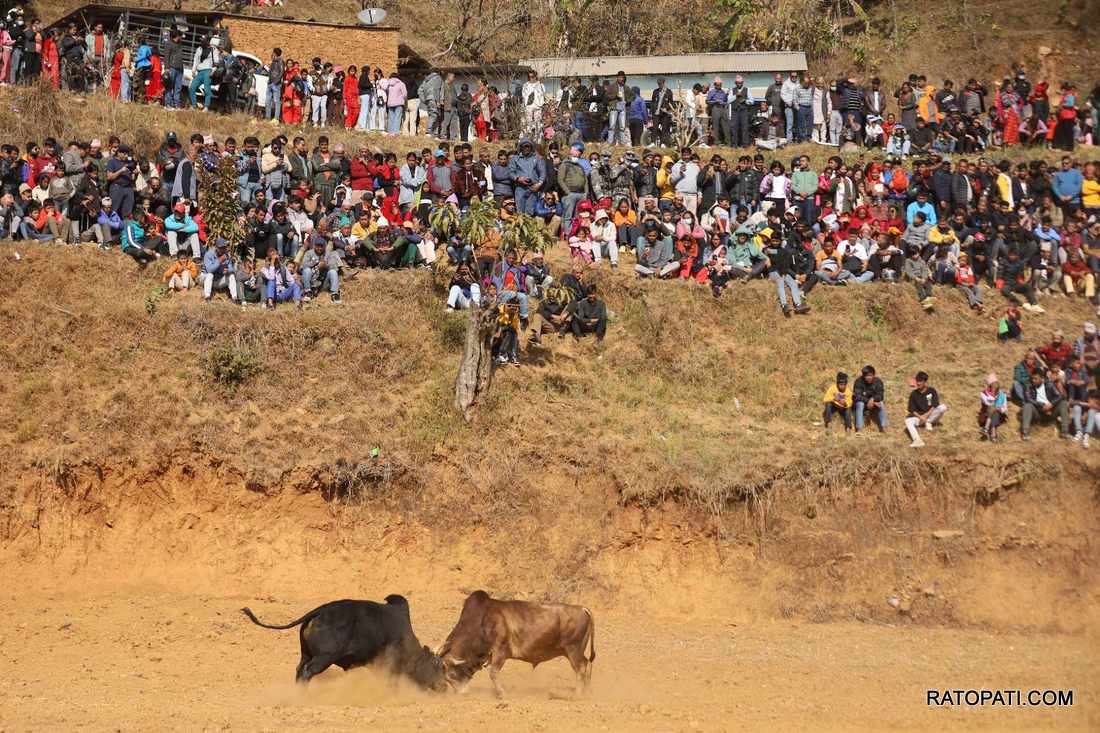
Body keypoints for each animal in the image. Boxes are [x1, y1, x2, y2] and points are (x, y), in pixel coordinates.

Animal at [240, 589, 446, 686]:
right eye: (436, 667)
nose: (443, 687)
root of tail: (320, 611)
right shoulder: (390, 665)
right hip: (324, 658)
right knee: (307, 672)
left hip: (306, 654)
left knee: (299, 670)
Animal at [435, 589, 594, 695]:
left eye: (451, 675)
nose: (462, 693)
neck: (481, 620)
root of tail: (582, 609)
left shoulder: (500, 651)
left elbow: (493, 673)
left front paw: (501, 693)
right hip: (576, 651)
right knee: (587, 664)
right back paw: (586, 691)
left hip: (573, 650)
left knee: (581, 668)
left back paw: (577, 694)